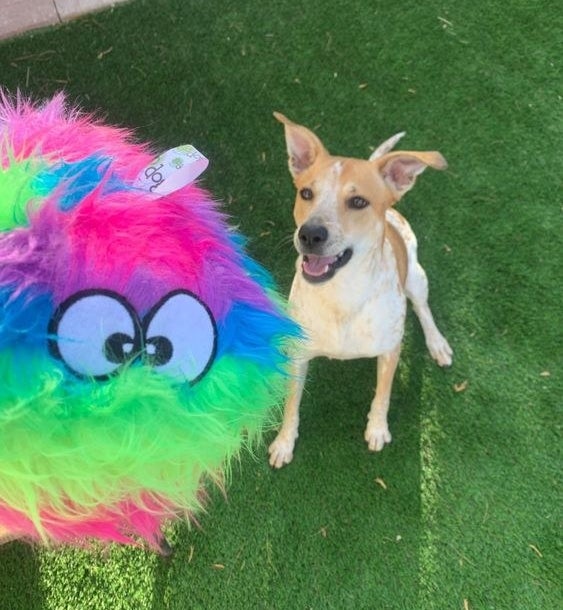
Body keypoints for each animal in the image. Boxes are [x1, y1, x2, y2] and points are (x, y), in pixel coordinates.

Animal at [268, 113, 454, 466]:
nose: (310, 234)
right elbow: (291, 405)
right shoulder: (299, 355)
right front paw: (284, 442)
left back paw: (437, 344)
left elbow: (382, 396)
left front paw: (377, 429)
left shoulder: (390, 350)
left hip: (416, 277)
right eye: (306, 193)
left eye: (358, 202)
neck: (342, 294)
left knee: (423, 309)